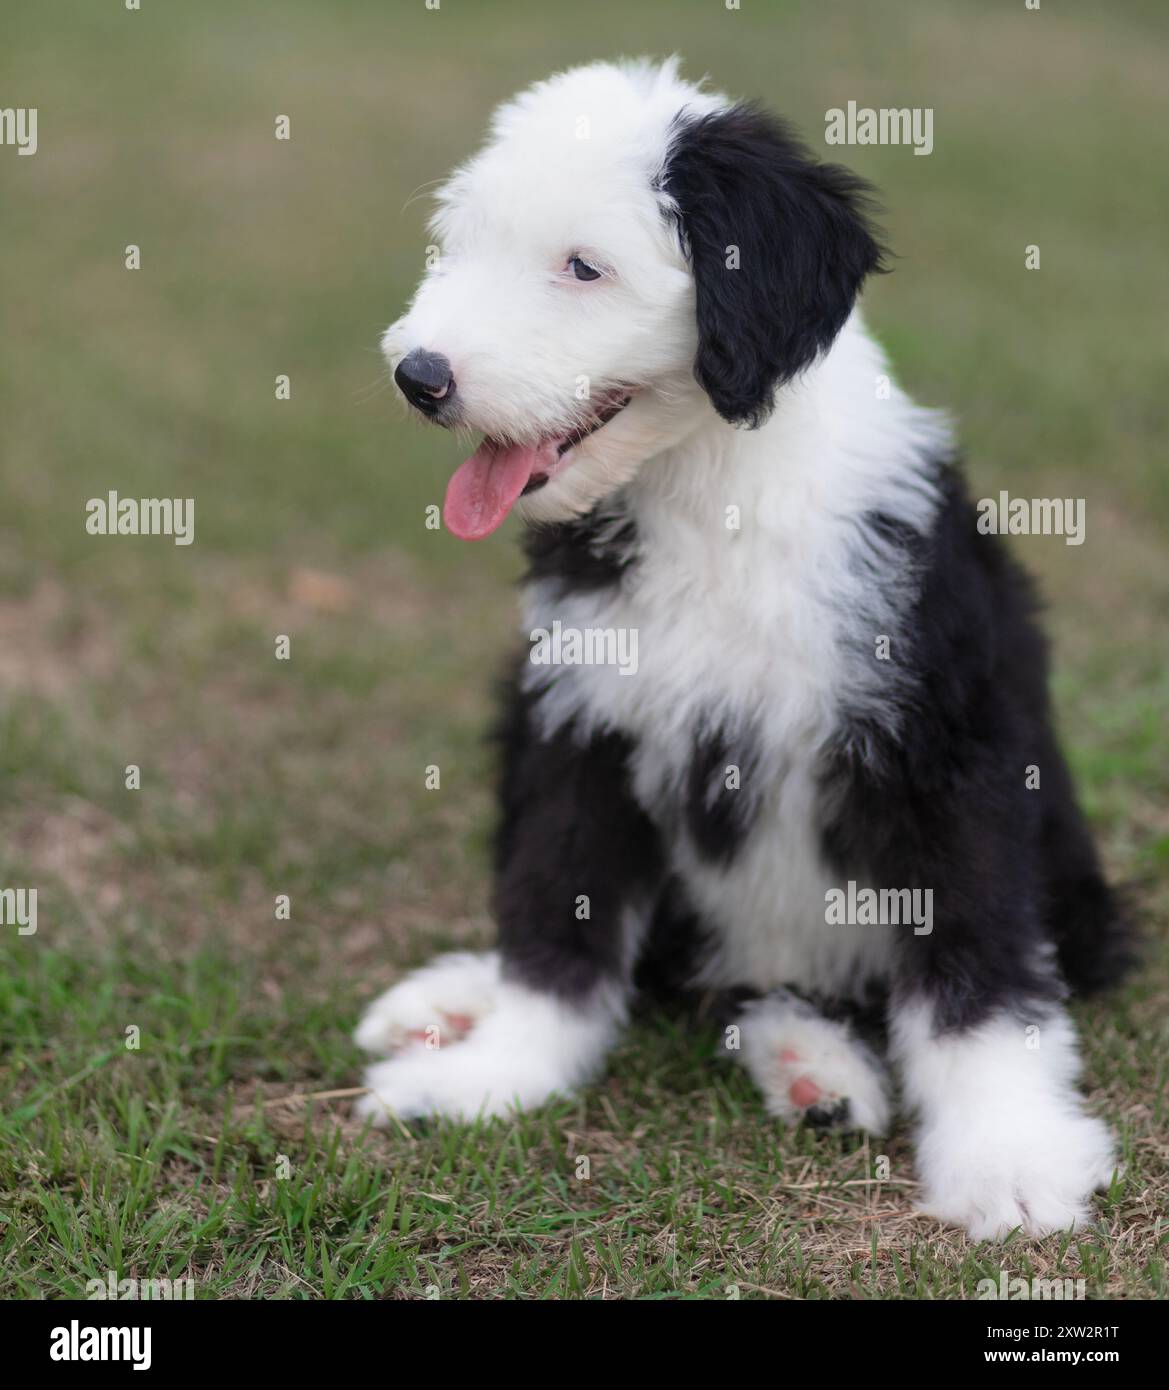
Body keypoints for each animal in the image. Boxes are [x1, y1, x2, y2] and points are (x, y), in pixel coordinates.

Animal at [358, 59, 1128, 1245]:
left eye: (582, 266)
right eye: (461, 243)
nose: (420, 375)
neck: (709, 489)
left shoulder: (942, 739)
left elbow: (977, 960)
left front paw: (1008, 1157)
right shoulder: (576, 722)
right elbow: (556, 919)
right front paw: (497, 1074)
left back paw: (816, 1070)